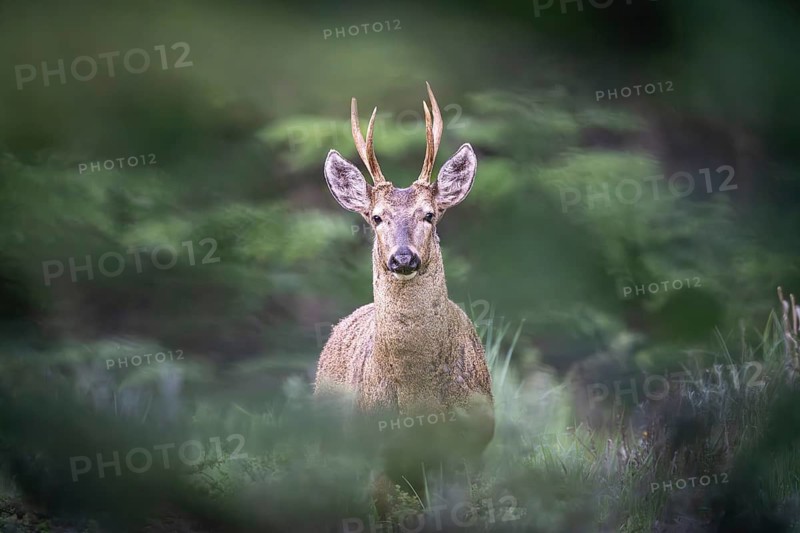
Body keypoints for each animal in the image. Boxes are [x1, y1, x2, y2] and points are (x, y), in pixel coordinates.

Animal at [314, 83, 494, 518]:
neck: (418, 401)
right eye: (376, 217)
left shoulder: (471, 446)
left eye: (429, 214)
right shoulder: (377, 452)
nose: (402, 258)